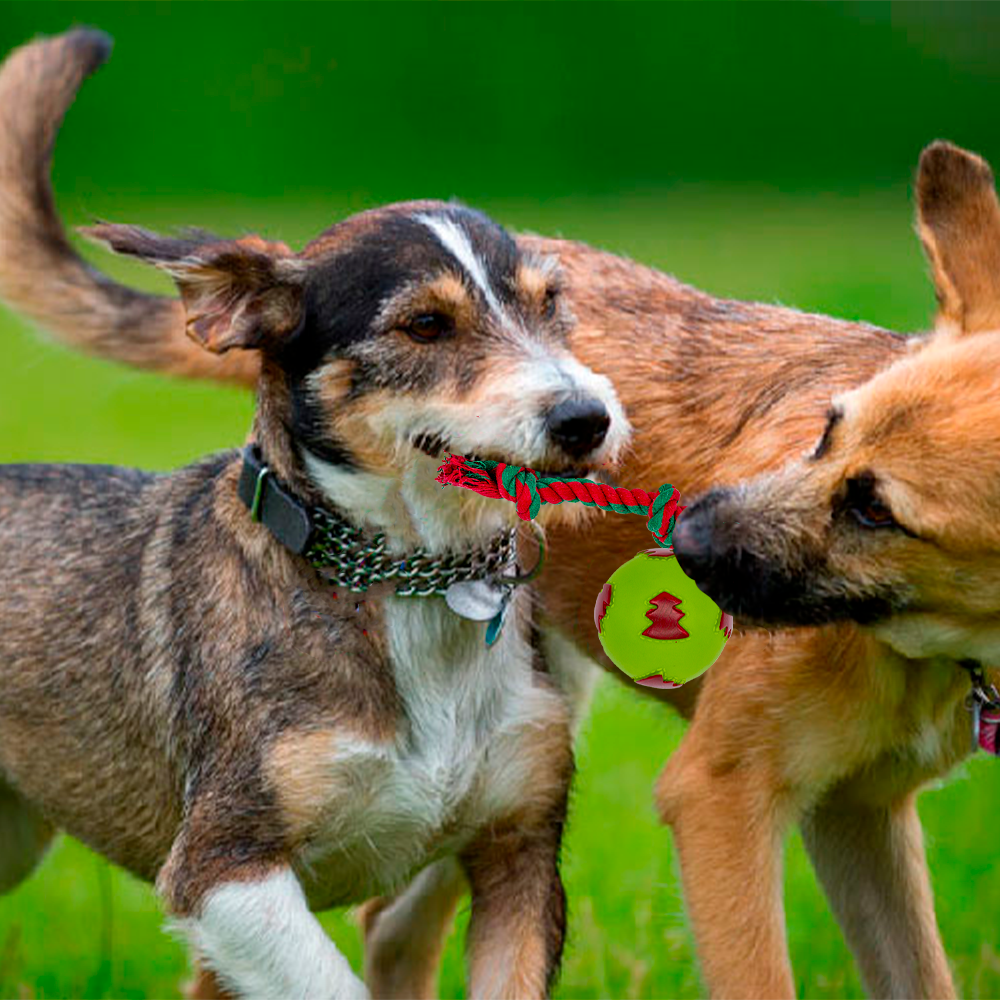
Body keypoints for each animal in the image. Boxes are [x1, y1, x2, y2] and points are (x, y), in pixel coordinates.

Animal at [0, 23, 992, 1000]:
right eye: (424, 327)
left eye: (555, 309)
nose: (589, 419)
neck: (413, 586)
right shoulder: (224, 870)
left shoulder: (539, 850)